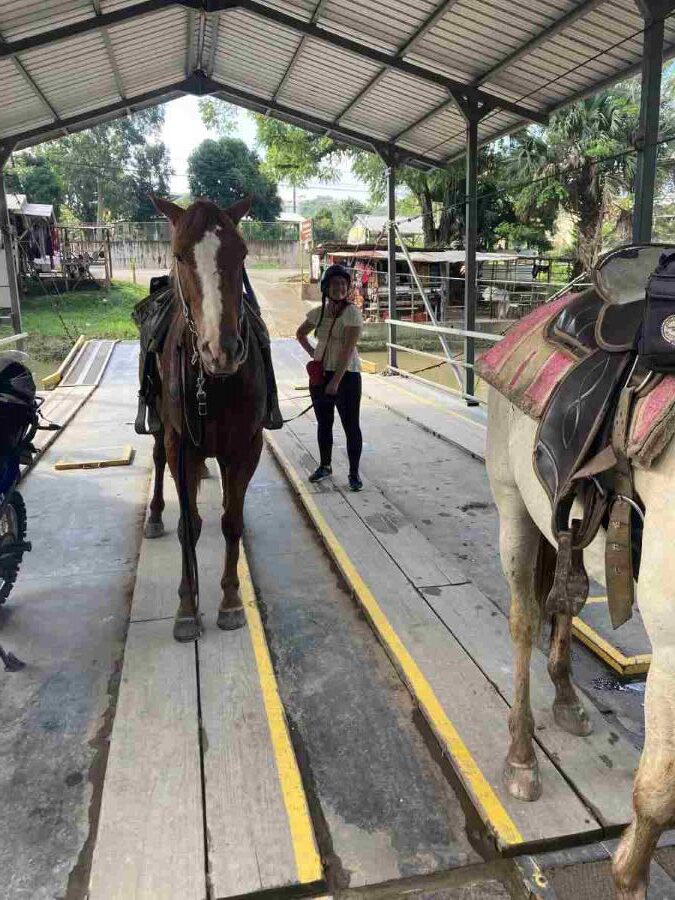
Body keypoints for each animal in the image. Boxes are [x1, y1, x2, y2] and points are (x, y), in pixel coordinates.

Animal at [147, 196, 266, 640]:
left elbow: (231, 521)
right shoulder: (181, 447)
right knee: (157, 460)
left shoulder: (246, 446)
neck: (212, 383)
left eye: (243, 254)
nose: (222, 350)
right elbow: (189, 526)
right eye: (180, 256)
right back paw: (155, 515)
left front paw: (230, 601)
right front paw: (186, 607)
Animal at [488, 388, 672, 900]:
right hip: (511, 499)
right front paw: (628, 879)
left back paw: (568, 699)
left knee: (566, 589)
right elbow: (658, 795)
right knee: (524, 618)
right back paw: (521, 757)